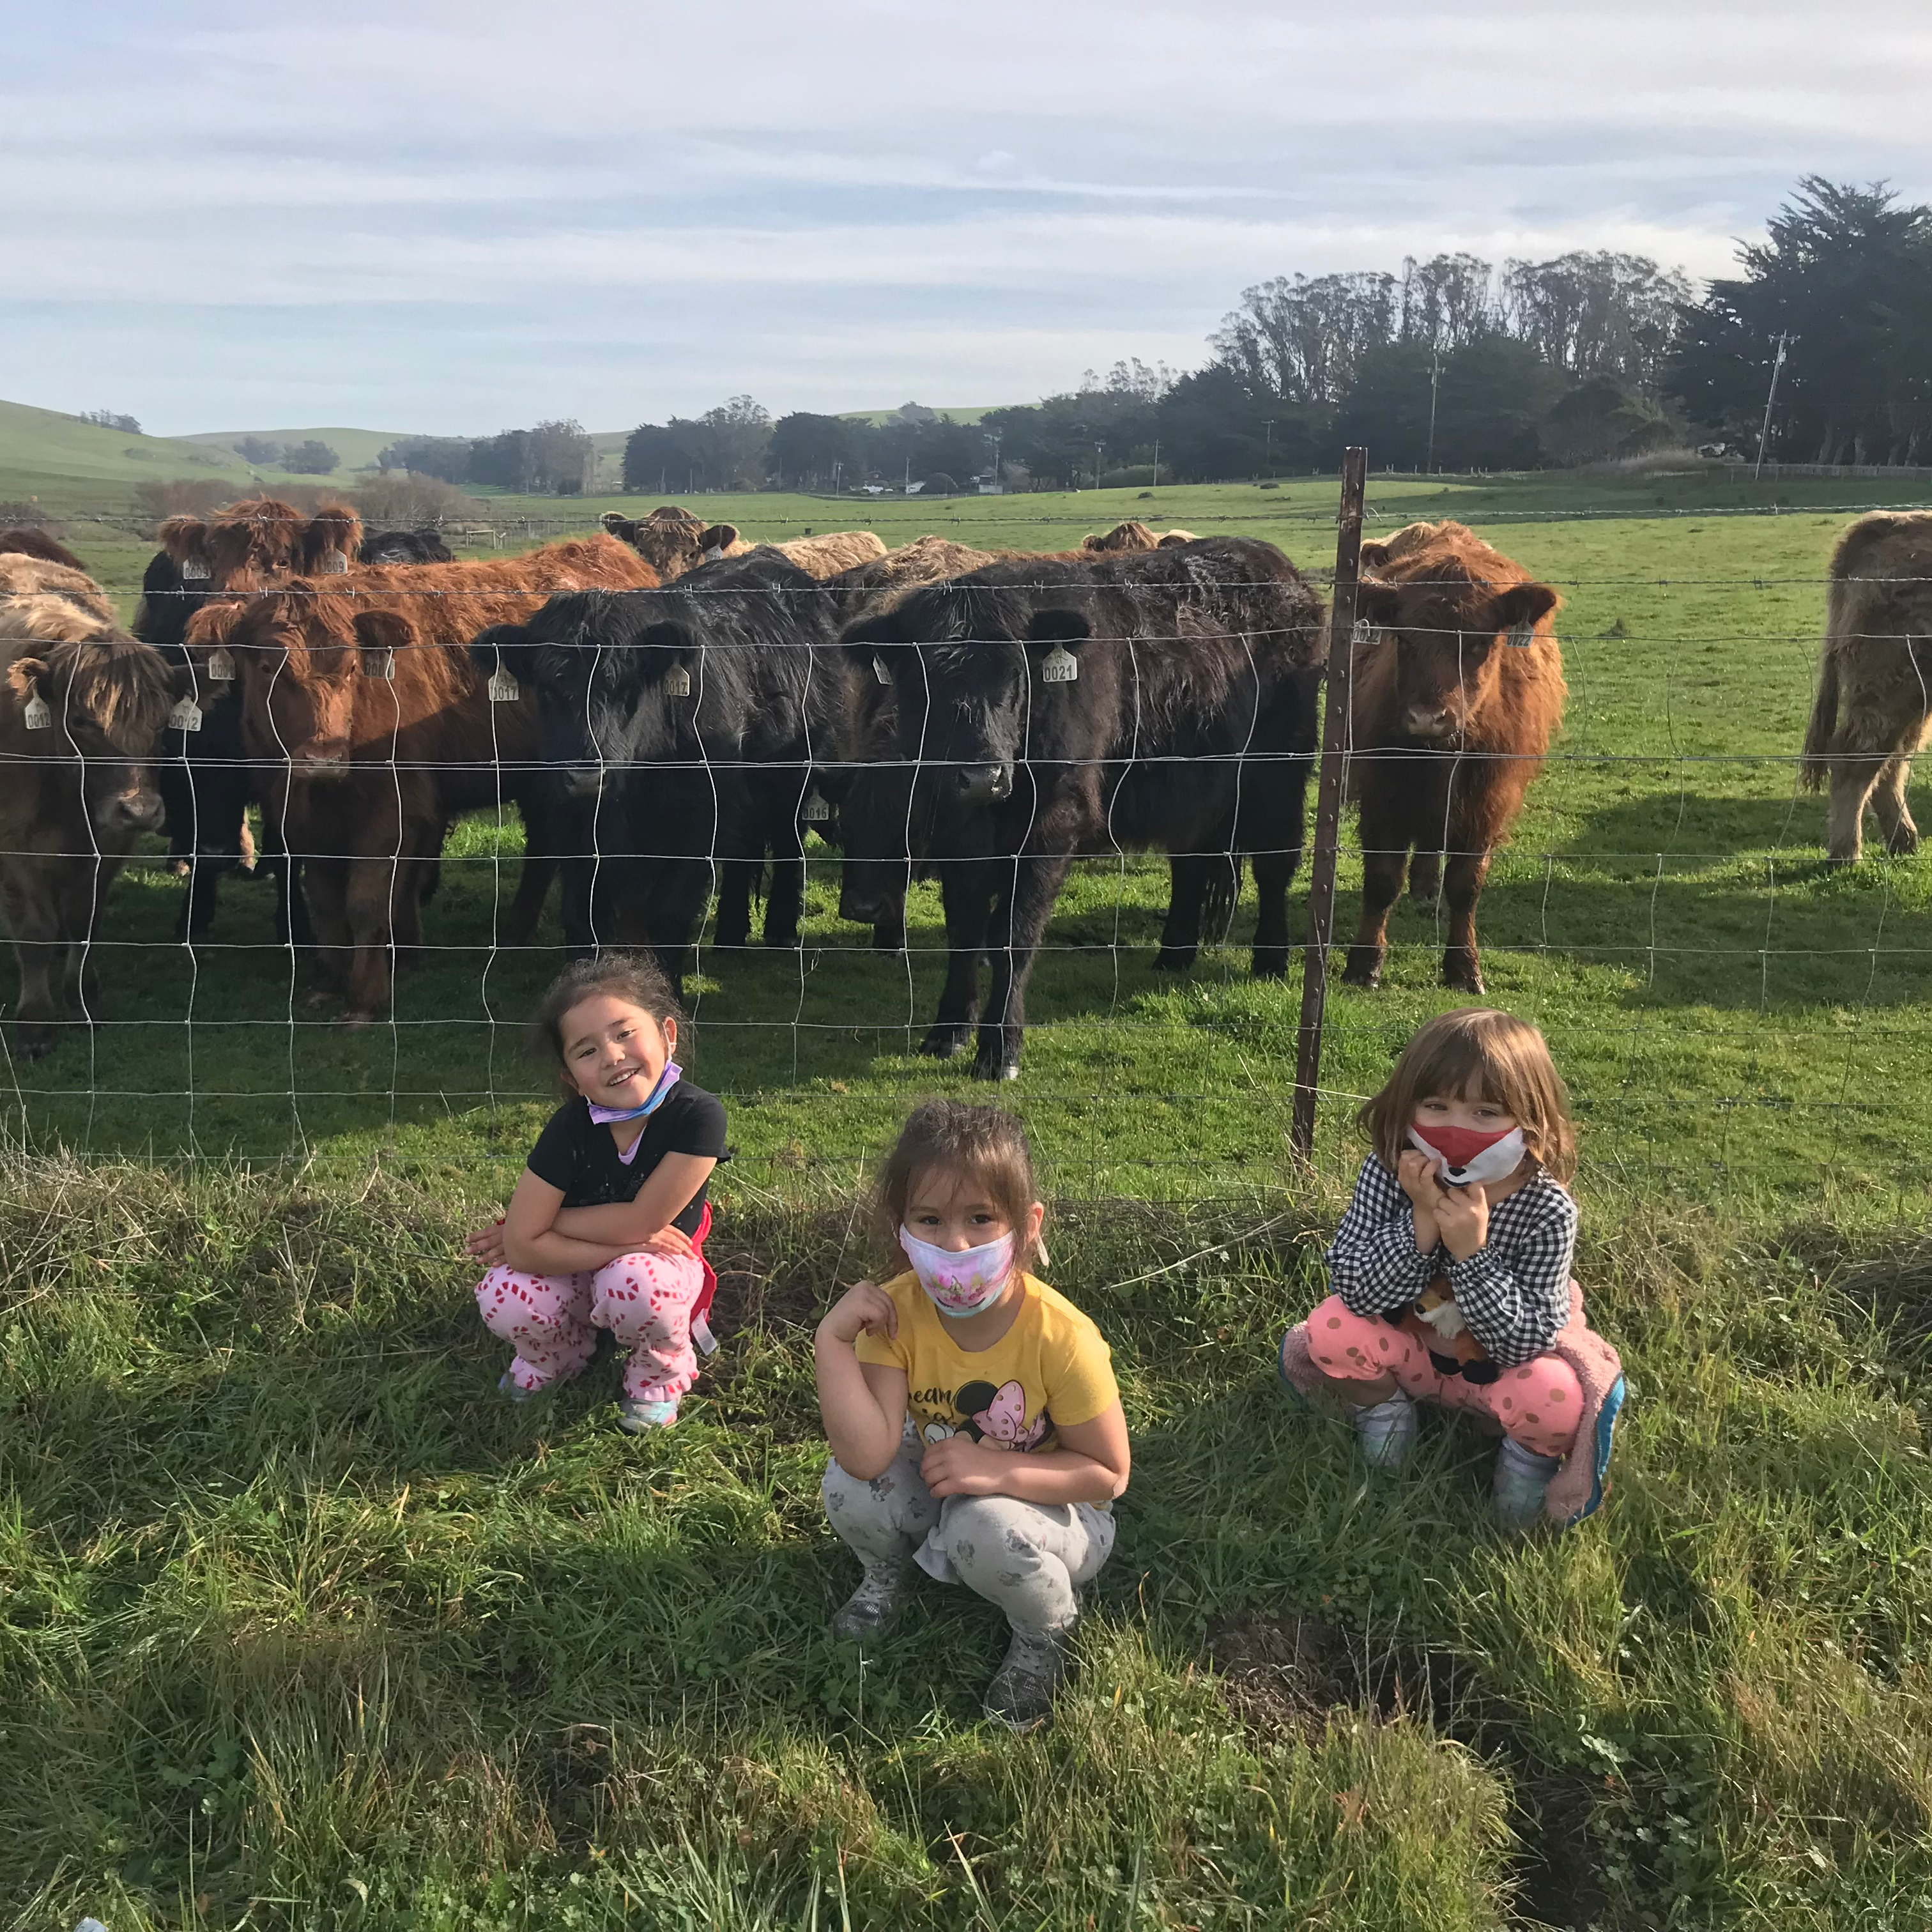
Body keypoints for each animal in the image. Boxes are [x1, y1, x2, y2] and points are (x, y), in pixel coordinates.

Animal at [0, 552, 181, 1066]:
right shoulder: (14, 848)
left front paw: (82, 1003)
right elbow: (34, 932)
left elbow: (85, 921)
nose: (140, 810)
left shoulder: (113, 843)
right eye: (80, 721)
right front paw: (36, 1023)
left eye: (163, 723)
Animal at [189, 529, 661, 1012]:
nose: (323, 756)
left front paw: (366, 997)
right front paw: (332, 980)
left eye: (352, 667)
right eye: (268, 668)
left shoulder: (389, 810)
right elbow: (327, 903)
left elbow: (366, 901)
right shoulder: (298, 816)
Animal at [1344, 518, 1568, 989]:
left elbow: (1467, 886)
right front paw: (1364, 963)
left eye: (1480, 643)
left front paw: (1464, 966)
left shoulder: (1489, 802)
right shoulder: (1380, 793)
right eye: (1403, 639)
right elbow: (1381, 882)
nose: (1428, 717)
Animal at [1793, 506, 1932, 861]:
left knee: (1892, 763)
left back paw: (1904, 841)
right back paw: (1846, 852)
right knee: (1855, 760)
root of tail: (1892, 521)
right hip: (1888, 687)